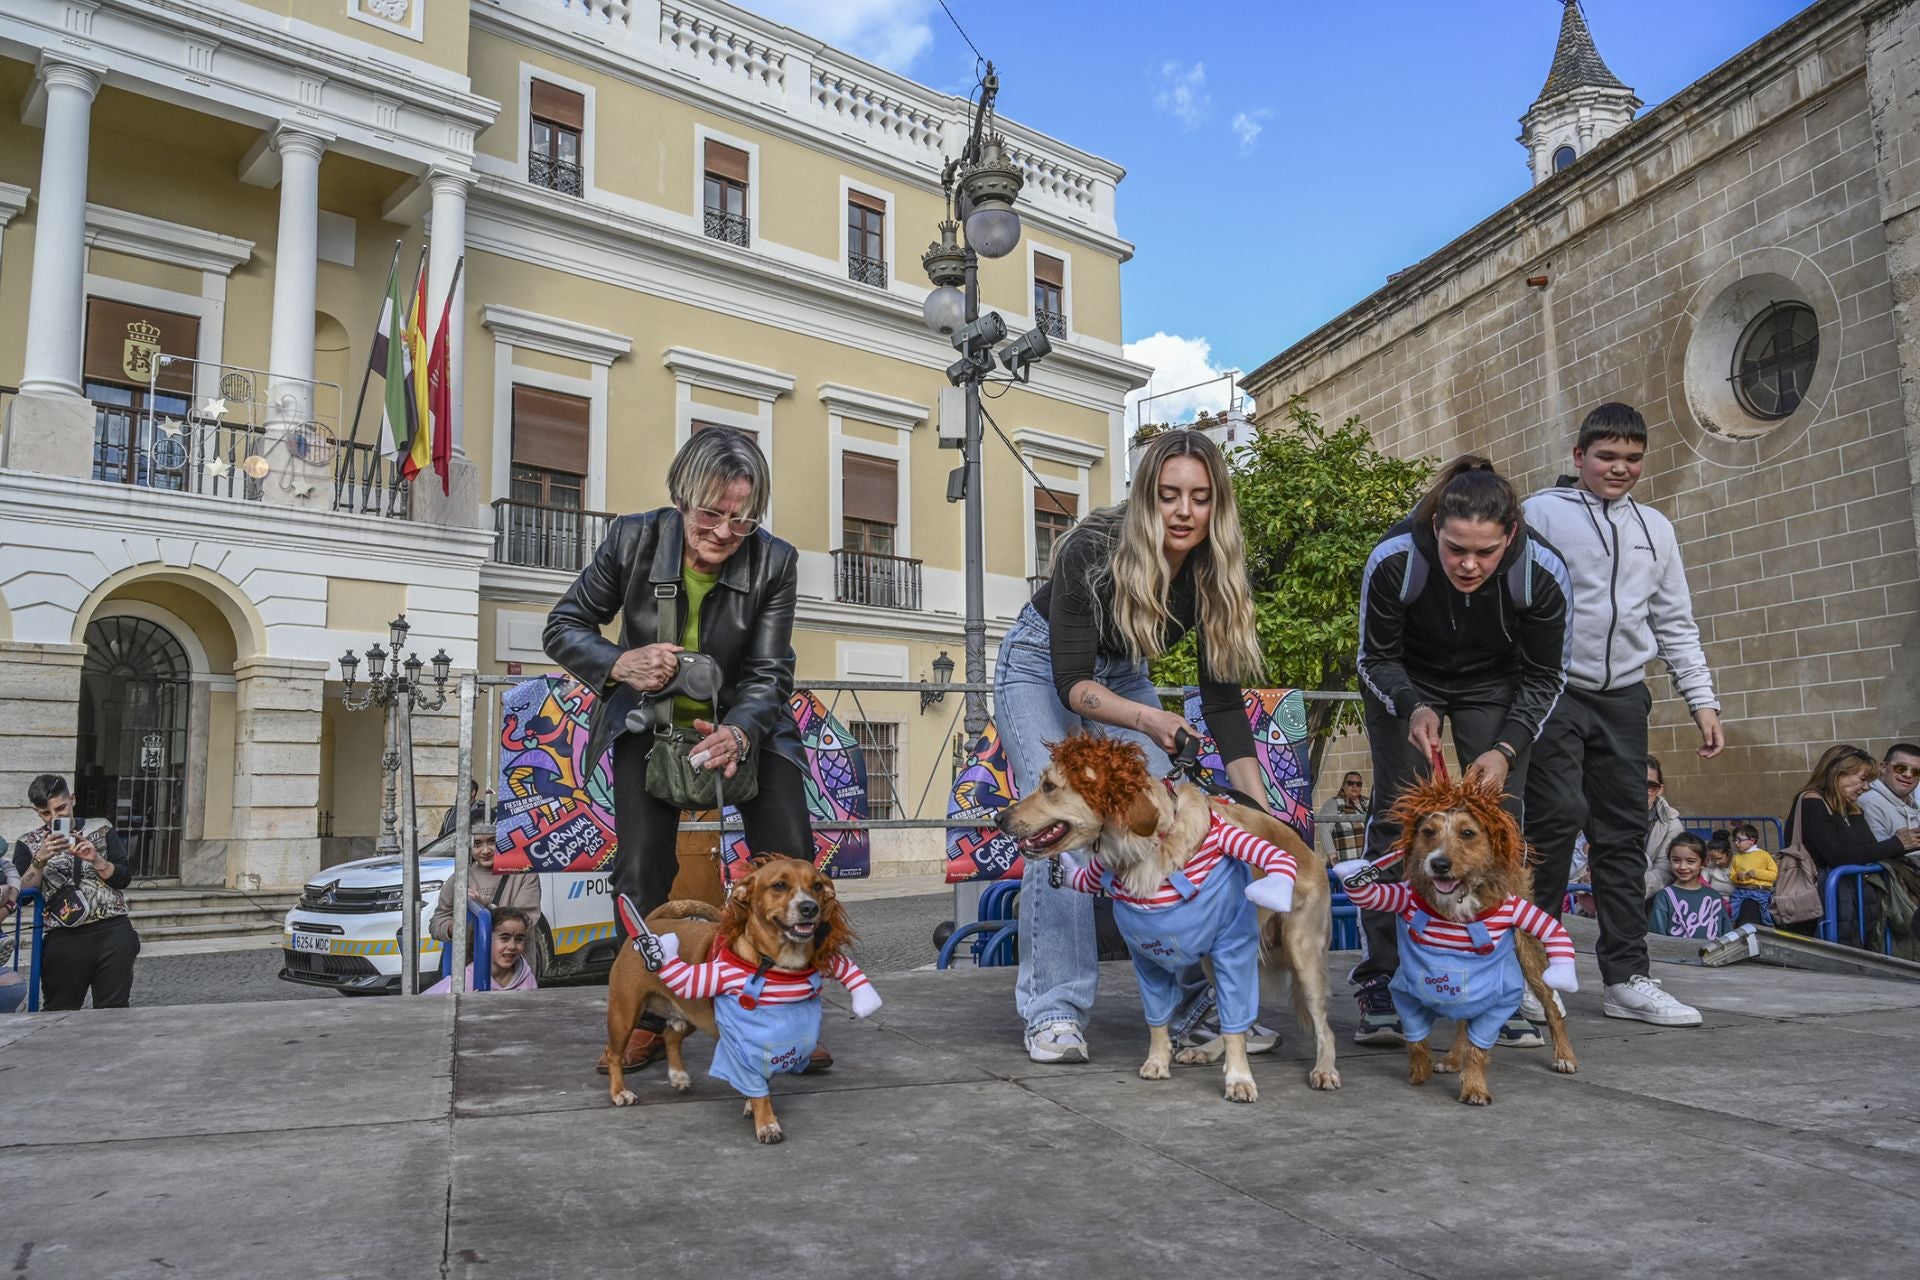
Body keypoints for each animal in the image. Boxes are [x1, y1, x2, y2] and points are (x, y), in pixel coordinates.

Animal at [599, 859, 879, 1143]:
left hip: (695, 1013)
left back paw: (678, 1076)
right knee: (614, 1053)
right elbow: (756, 1085)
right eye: (779, 885)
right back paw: (619, 1092)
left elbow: (760, 1080)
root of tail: (652, 923)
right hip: (625, 1014)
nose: (809, 907)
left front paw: (753, 1107)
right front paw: (766, 1122)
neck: (775, 964)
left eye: (817, 886)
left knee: (670, 1035)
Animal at [998, 736, 1344, 1105]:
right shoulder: (1147, 955)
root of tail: (1306, 850)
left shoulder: (1230, 950)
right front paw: (1158, 1061)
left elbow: (1235, 1026)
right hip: (1212, 962)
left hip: (1301, 951)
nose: (999, 818)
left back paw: (1324, 1069)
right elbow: (1159, 1019)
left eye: (1049, 786)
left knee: (1324, 1028)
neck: (1151, 848)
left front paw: (1239, 1078)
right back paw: (1208, 1051)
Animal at [1336, 775, 1574, 1105]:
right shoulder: (1409, 988)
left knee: (1550, 1003)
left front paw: (1474, 1085)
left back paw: (1563, 1055)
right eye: (1428, 832)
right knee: (1465, 1016)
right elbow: (1418, 1037)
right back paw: (1452, 1057)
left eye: (1468, 833)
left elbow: (1480, 1044)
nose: (1439, 864)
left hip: (1527, 953)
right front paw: (1420, 1070)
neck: (1458, 900)